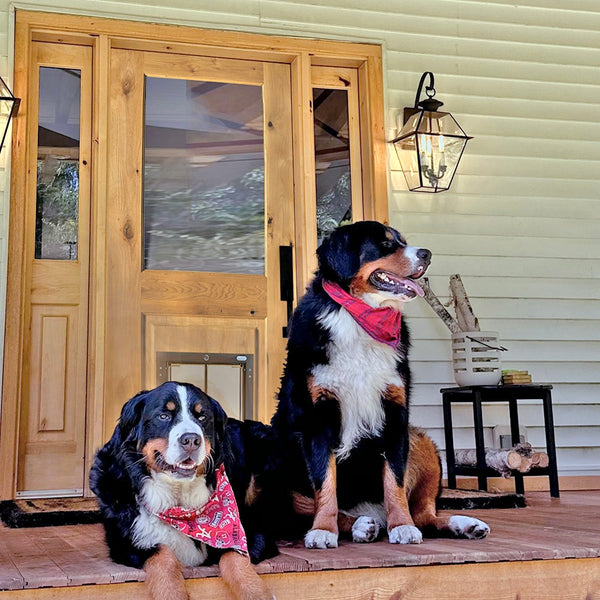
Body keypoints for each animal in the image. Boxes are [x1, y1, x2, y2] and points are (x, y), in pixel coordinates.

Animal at [88, 384, 274, 600]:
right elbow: (163, 556)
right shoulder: (127, 542)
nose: (191, 440)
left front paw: (256, 592)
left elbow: (234, 555)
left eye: (202, 417)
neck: (179, 501)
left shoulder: (250, 531)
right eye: (164, 416)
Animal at [272, 220, 492, 548]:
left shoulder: (394, 413)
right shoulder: (319, 417)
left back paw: (463, 524)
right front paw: (323, 530)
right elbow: (325, 483)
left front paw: (402, 525)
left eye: (404, 241)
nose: (427, 254)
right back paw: (361, 525)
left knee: (425, 516)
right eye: (386, 244)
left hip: (422, 443)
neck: (359, 319)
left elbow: (394, 479)